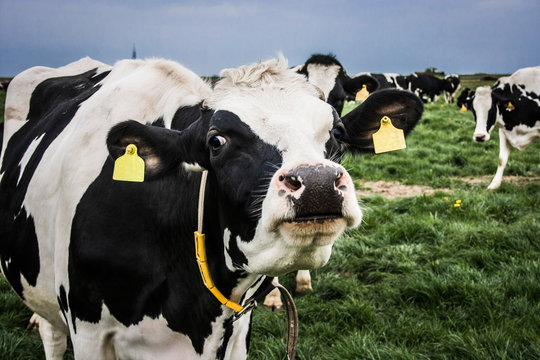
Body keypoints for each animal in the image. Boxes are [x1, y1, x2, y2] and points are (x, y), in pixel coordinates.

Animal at [0, 54, 424, 358]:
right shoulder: (88, 330)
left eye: (336, 131)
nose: (318, 183)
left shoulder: (235, 333)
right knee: (51, 334)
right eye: (216, 141)